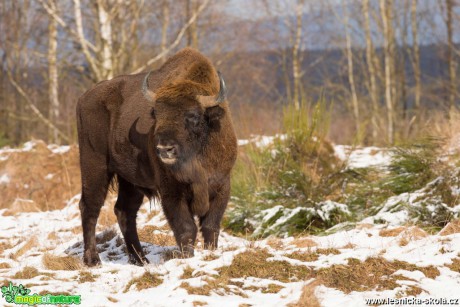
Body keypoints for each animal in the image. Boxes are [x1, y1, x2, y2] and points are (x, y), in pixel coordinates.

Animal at [76, 48, 237, 268]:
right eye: (156, 114)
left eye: (193, 115)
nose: (164, 149)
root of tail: (84, 98)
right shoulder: (171, 191)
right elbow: (186, 228)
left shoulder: (221, 186)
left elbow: (210, 227)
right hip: (94, 166)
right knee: (90, 207)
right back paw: (93, 260)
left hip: (130, 181)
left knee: (124, 211)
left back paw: (140, 259)